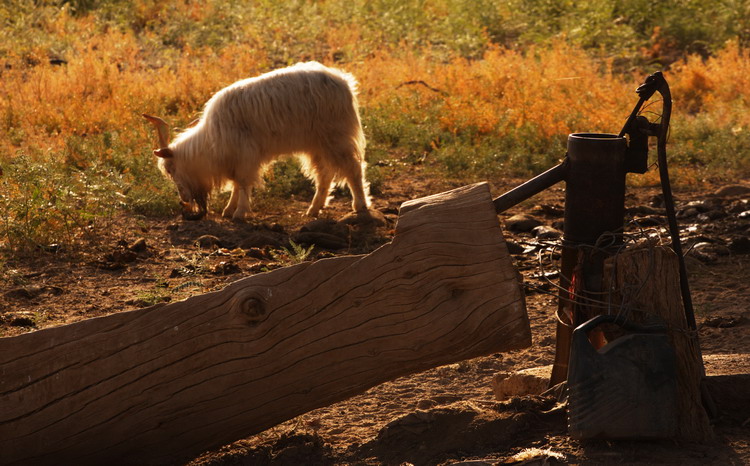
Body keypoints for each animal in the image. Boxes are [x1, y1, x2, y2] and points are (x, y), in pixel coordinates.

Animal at [144, 61, 370, 220]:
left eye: (171, 169)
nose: (183, 200)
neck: (210, 139)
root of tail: (344, 81)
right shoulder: (236, 159)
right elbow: (236, 184)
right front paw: (229, 209)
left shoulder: (245, 156)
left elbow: (243, 183)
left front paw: (239, 213)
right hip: (317, 145)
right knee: (324, 175)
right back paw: (314, 209)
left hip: (336, 138)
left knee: (353, 169)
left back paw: (360, 206)